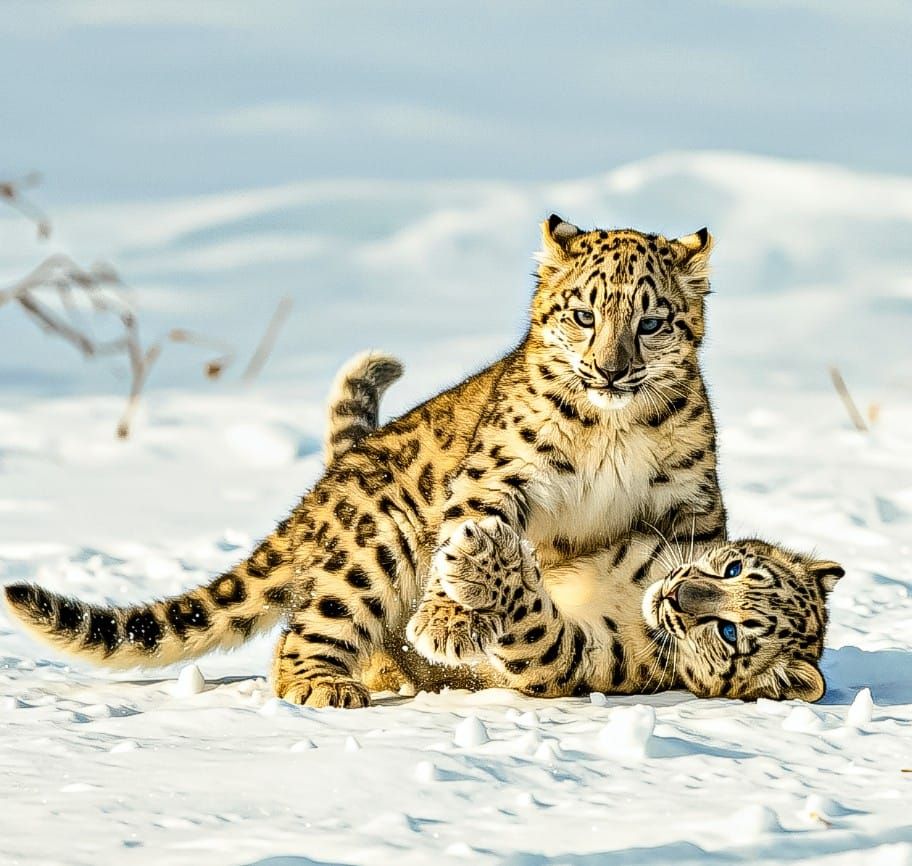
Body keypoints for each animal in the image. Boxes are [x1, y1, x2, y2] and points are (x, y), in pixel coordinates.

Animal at [4, 216, 725, 708]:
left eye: (650, 322)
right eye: (583, 315)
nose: (611, 369)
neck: (613, 432)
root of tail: (330, 483)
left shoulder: (691, 502)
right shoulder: (502, 472)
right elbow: (471, 532)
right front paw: (447, 621)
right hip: (371, 548)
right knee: (304, 633)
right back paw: (326, 684)